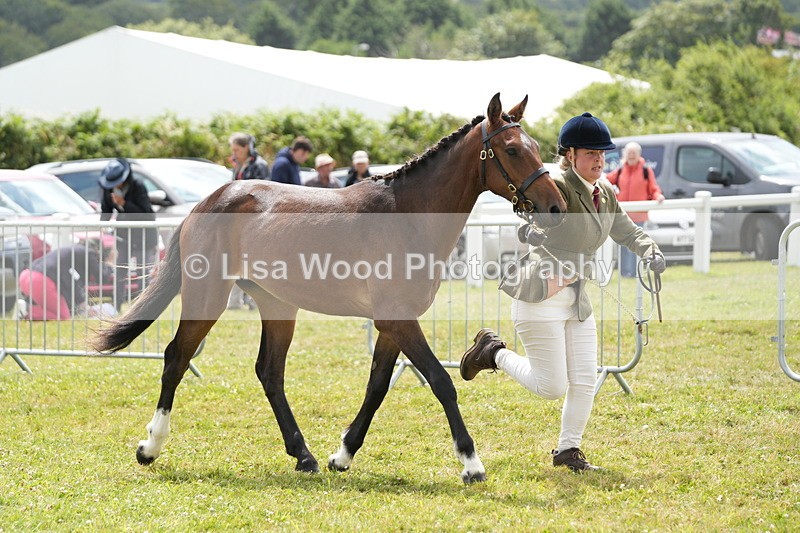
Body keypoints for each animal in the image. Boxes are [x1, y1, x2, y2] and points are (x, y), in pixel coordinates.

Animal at [94, 93, 567, 483]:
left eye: (538, 149)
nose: (556, 207)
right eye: (512, 150)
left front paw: (342, 455)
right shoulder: (398, 320)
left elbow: (377, 387)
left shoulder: (393, 325)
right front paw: (471, 463)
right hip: (207, 296)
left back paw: (303, 456)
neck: (408, 215)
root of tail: (207, 201)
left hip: (277, 306)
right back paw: (150, 446)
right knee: (176, 357)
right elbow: (440, 381)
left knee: (269, 372)